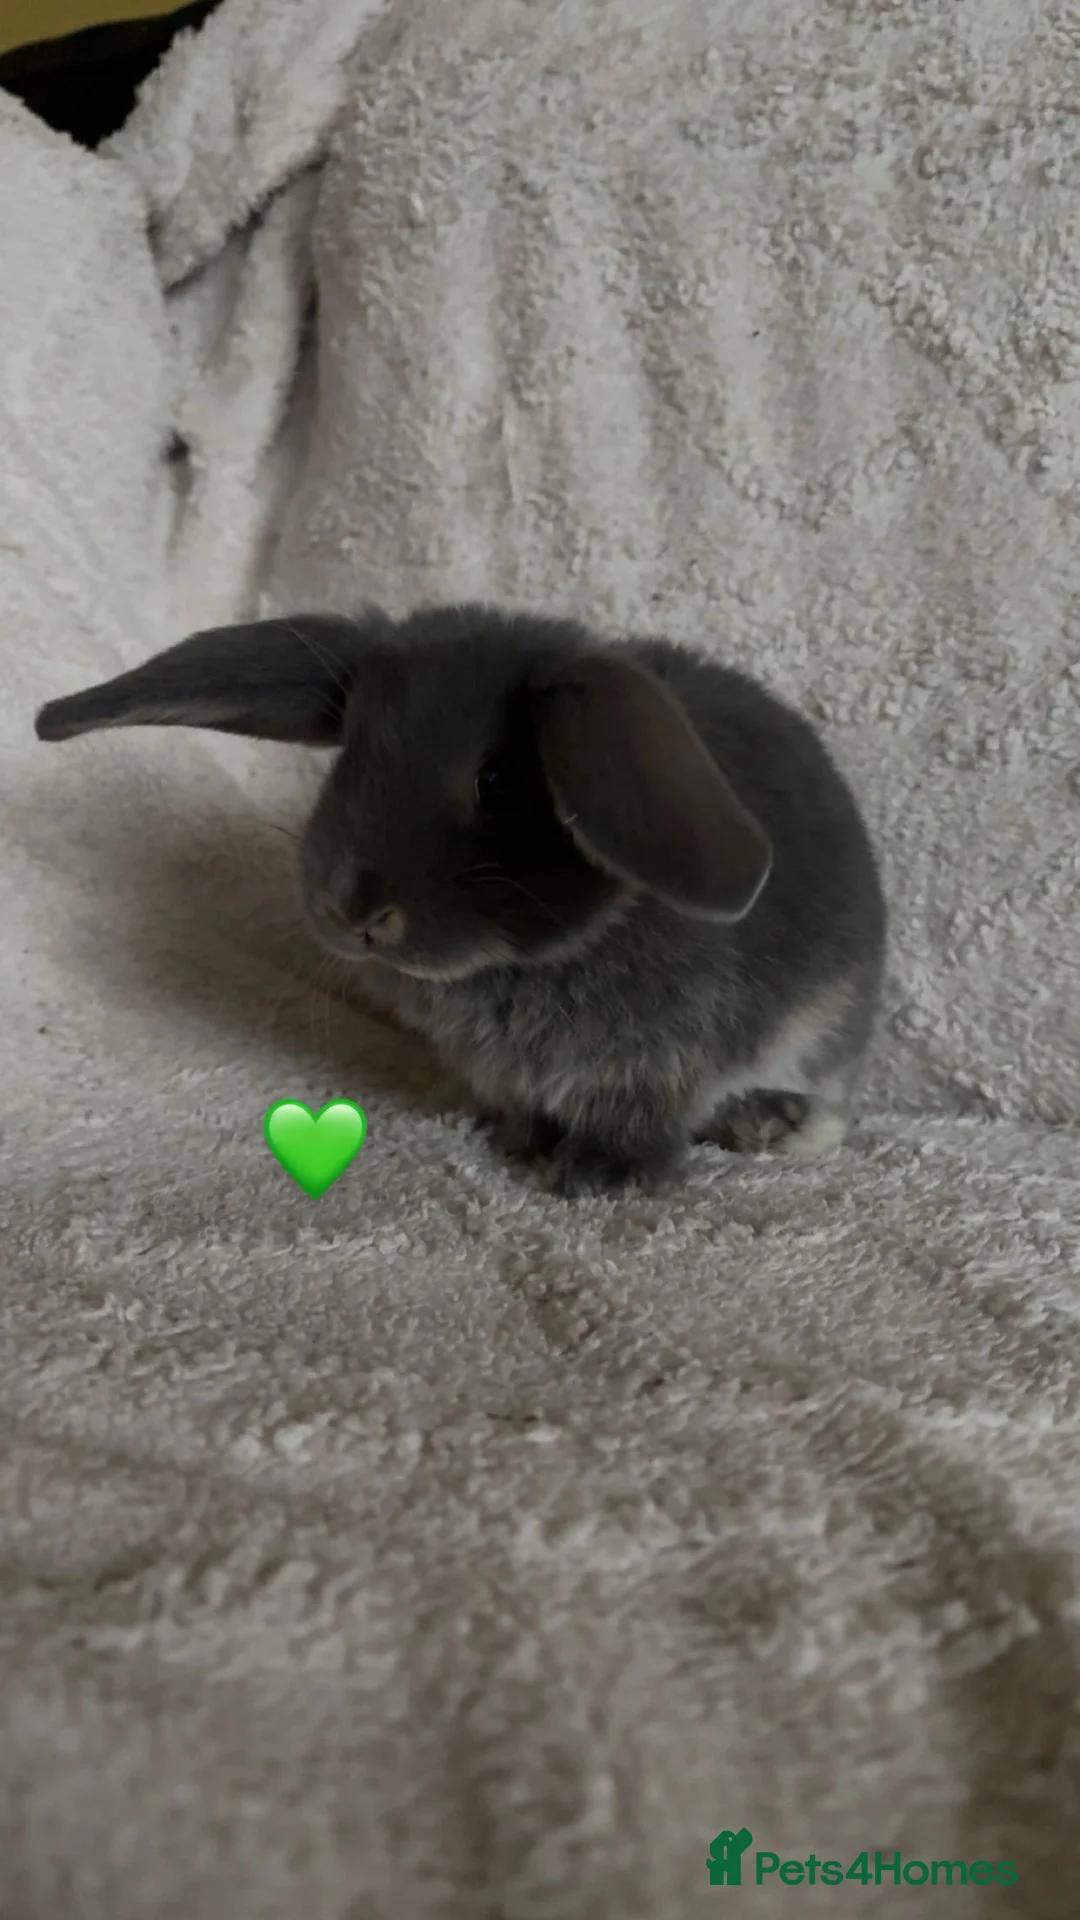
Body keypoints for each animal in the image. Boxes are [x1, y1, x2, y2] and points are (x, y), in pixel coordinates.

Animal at [35, 604, 887, 1196]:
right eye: (348, 756)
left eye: (498, 781)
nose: (352, 913)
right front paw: (519, 1145)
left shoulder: (659, 1064)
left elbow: (641, 1125)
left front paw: (593, 1178)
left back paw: (779, 1124)